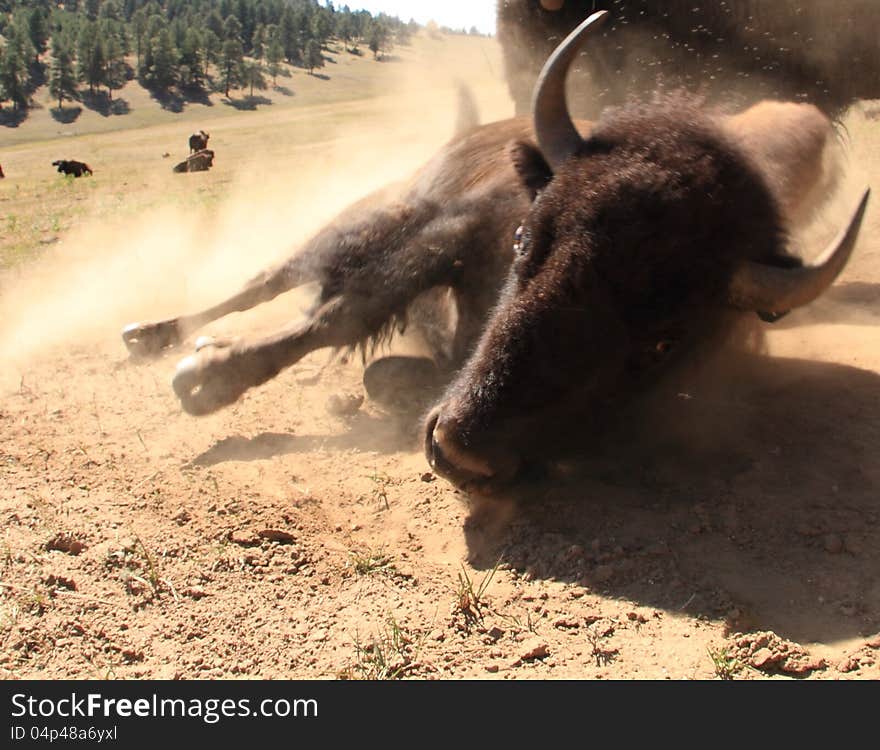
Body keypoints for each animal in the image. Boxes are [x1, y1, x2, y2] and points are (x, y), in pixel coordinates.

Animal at [120, 11, 868, 496]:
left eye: (664, 341)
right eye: (523, 240)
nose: (462, 452)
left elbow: (383, 368)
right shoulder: (441, 236)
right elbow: (339, 316)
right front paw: (204, 382)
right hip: (364, 216)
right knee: (269, 280)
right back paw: (157, 338)